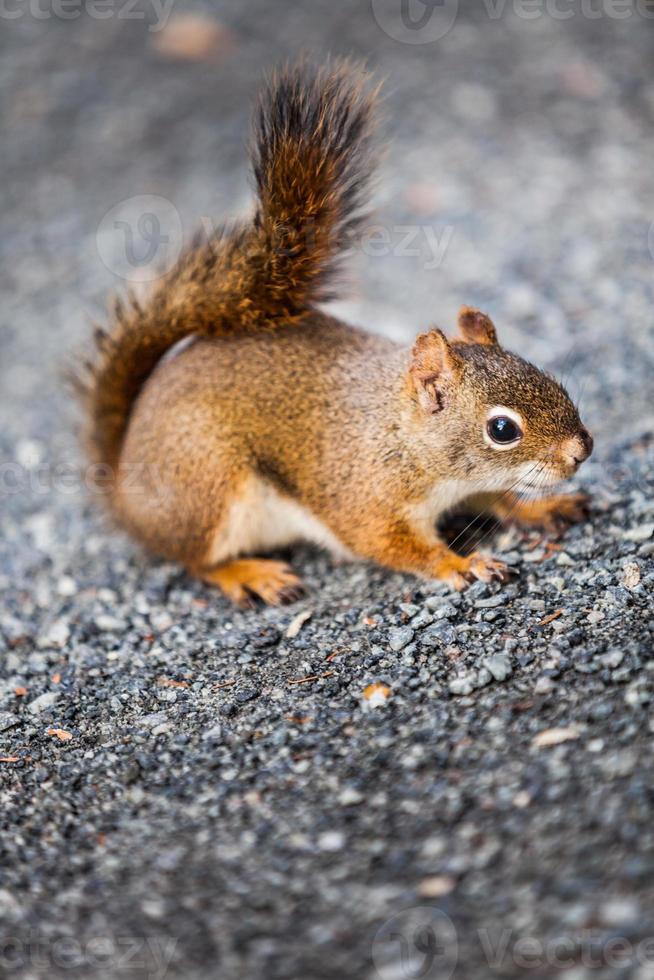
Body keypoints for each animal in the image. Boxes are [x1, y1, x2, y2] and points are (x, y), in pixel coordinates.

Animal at [77, 61, 596, 604]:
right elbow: (394, 545)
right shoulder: (365, 498)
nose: (582, 450)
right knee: (196, 560)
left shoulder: (469, 486)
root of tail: (125, 488)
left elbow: (500, 499)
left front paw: (542, 508)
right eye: (502, 429)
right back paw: (250, 574)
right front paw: (463, 563)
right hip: (207, 487)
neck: (403, 436)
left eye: (545, 375)